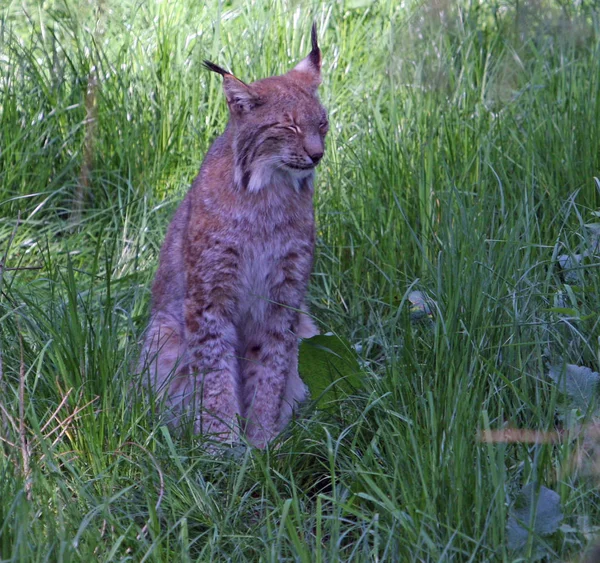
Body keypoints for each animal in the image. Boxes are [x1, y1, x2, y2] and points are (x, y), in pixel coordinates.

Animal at [139, 25, 328, 450]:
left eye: (322, 124)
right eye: (289, 126)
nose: (317, 155)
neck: (269, 193)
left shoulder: (285, 295)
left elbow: (272, 366)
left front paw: (262, 442)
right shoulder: (210, 295)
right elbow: (213, 370)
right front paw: (221, 445)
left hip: (308, 325)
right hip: (163, 331)